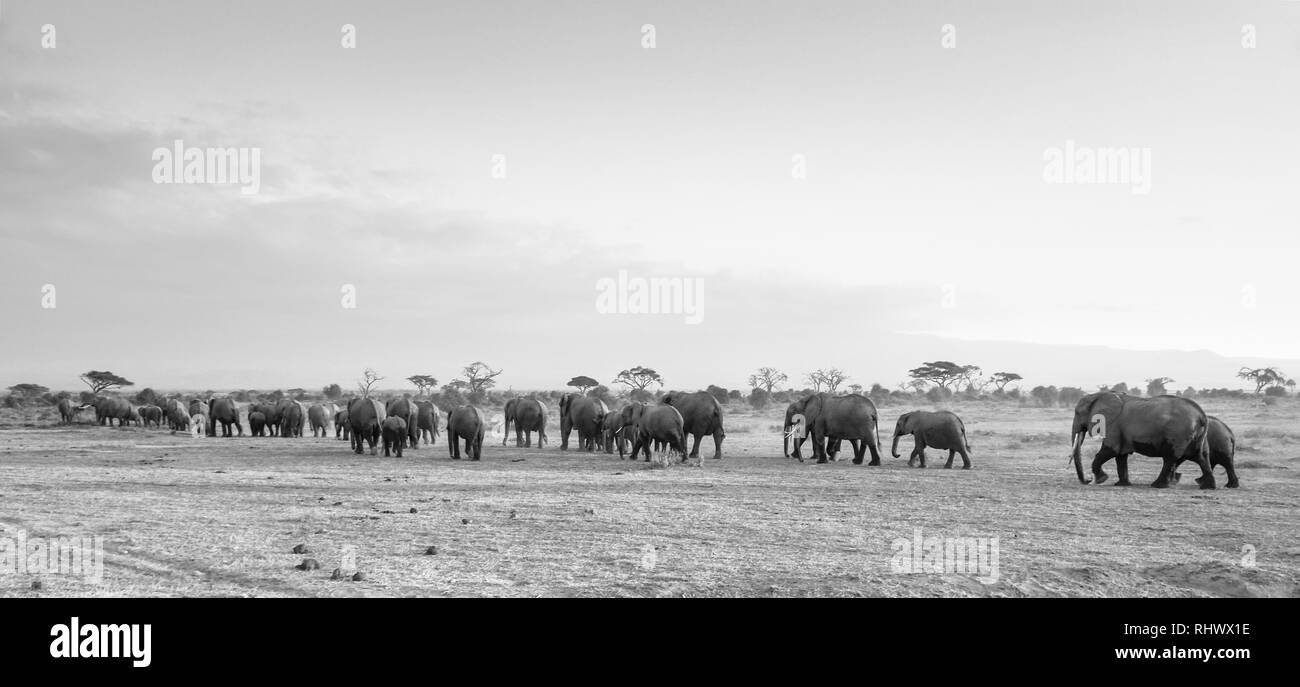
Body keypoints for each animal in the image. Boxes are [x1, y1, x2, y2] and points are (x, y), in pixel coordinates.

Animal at [1071, 392, 1211, 489]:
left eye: (1077, 413)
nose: (1088, 480)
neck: (1099, 395)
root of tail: (1201, 415)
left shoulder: (1113, 425)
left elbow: (1111, 450)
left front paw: (1101, 479)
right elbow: (1121, 456)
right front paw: (1121, 484)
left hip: (1178, 433)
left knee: (1170, 458)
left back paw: (1157, 485)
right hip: (1195, 436)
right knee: (1201, 457)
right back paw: (1206, 486)